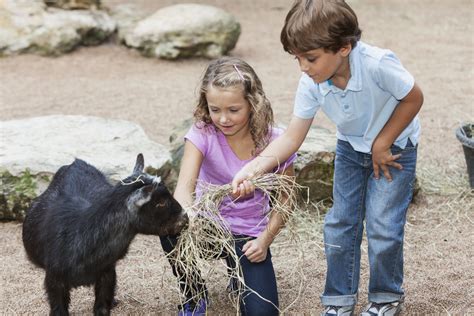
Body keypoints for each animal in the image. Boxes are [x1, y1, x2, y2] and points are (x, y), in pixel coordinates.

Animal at [22, 152, 189, 314]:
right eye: (160, 203)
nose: (185, 218)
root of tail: (76, 162)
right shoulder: (54, 280)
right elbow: (58, 309)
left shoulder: (107, 273)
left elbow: (102, 307)